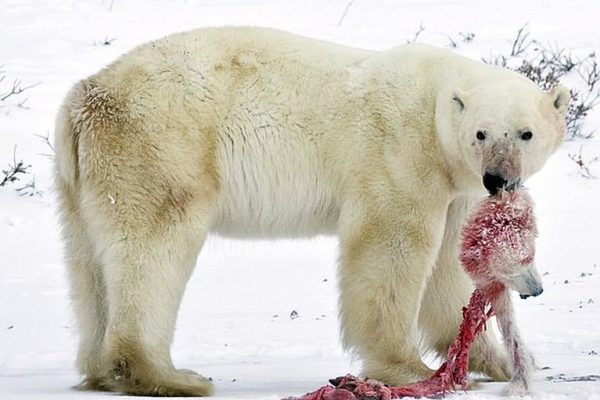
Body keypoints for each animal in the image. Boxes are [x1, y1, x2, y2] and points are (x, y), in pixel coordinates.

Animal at [54, 26, 568, 396]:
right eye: (482, 132)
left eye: (525, 133)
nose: (498, 179)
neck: (435, 105)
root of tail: (86, 94)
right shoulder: (400, 153)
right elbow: (390, 247)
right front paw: (407, 369)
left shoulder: (455, 187)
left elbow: (448, 267)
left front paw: (495, 361)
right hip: (161, 146)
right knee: (153, 250)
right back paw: (169, 376)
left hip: (83, 179)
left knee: (89, 265)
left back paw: (103, 370)